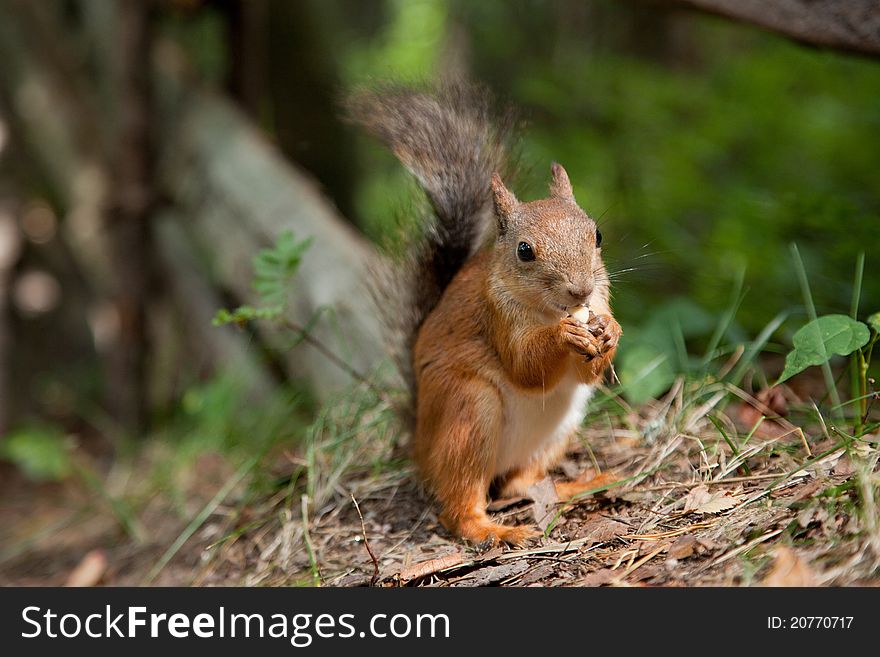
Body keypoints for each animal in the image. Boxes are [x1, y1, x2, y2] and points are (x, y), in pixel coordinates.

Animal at [348, 83, 620, 544]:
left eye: (596, 234)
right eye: (524, 251)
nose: (580, 289)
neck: (550, 311)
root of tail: (420, 446)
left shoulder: (599, 300)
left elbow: (588, 372)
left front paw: (612, 331)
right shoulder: (497, 316)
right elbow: (525, 368)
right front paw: (564, 337)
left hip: (559, 428)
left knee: (517, 483)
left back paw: (577, 485)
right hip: (468, 414)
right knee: (459, 507)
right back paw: (496, 531)